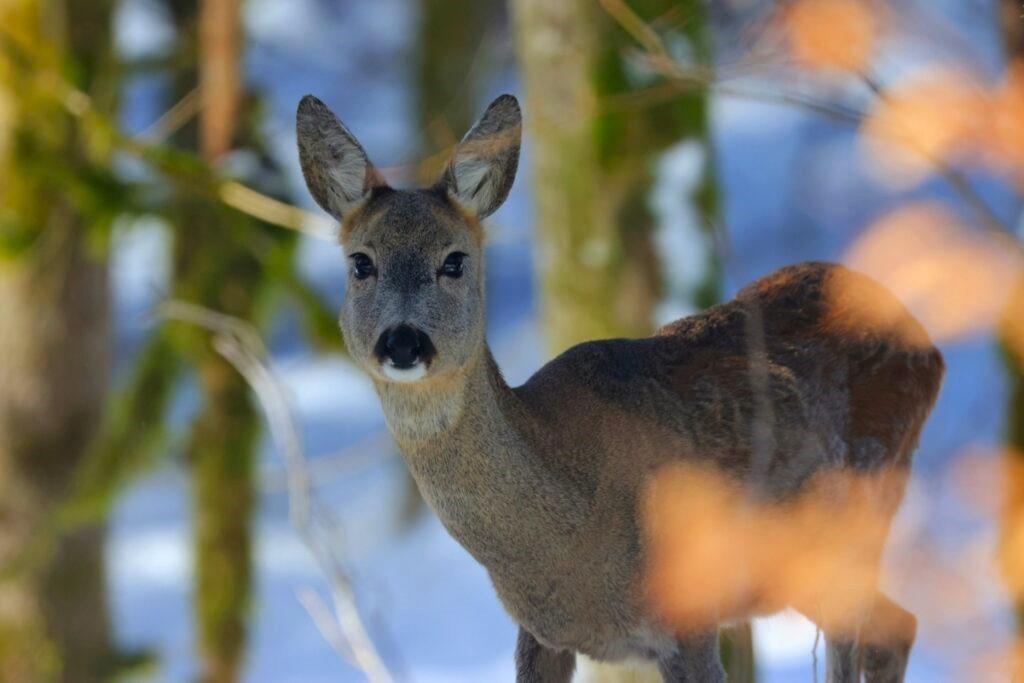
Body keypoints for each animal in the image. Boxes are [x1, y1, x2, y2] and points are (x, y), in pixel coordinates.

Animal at [296, 92, 942, 683]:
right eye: (361, 263)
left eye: (454, 261)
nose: (403, 343)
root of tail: (928, 342)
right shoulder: (539, 634)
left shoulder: (689, 619)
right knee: (895, 626)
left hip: (859, 513)